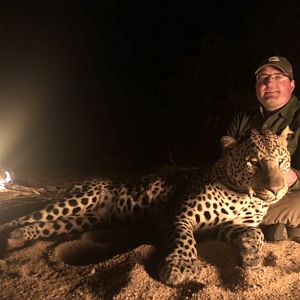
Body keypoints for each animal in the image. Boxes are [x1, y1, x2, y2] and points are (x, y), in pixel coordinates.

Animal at [0, 127, 292, 286]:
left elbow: (255, 233)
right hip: (77, 200)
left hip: (82, 219)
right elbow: (185, 240)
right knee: (24, 217)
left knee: (42, 224)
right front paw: (181, 266)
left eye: (281, 160)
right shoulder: (179, 214)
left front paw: (252, 257)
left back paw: (18, 238)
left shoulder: (222, 227)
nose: (277, 189)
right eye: (253, 162)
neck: (244, 196)